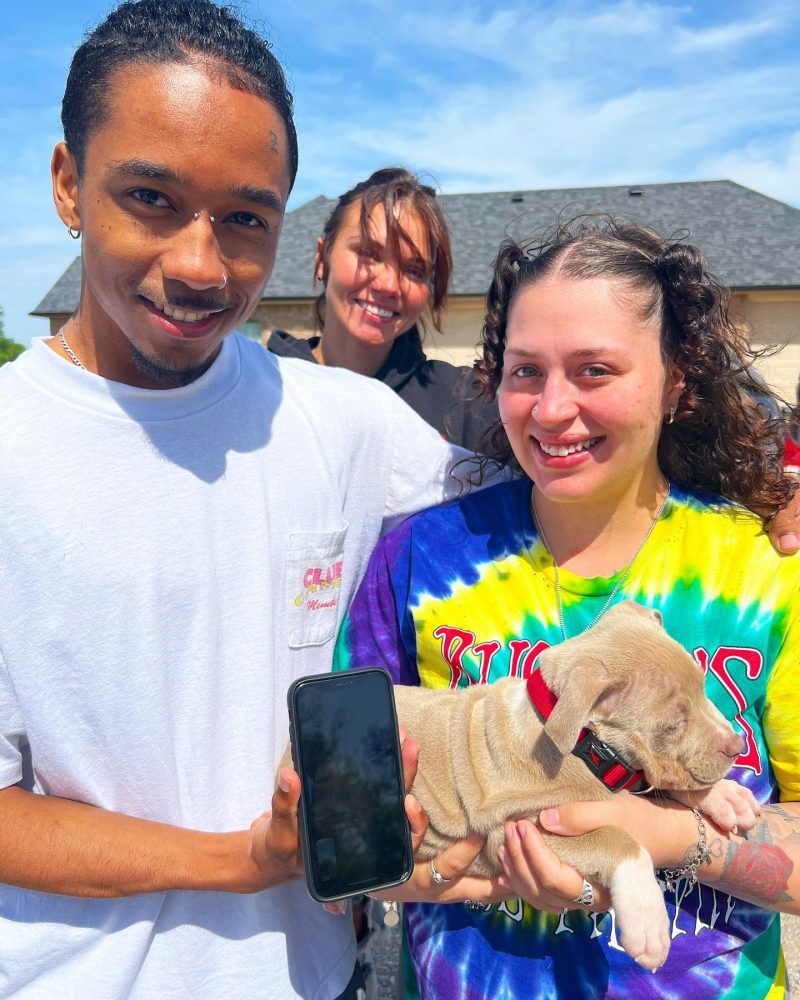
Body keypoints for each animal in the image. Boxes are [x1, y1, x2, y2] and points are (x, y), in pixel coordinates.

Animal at [394, 600, 756, 968]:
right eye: (675, 724)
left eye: (702, 688)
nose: (737, 746)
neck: (583, 744)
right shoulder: (517, 830)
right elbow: (616, 838)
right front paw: (648, 923)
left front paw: (726, 796)